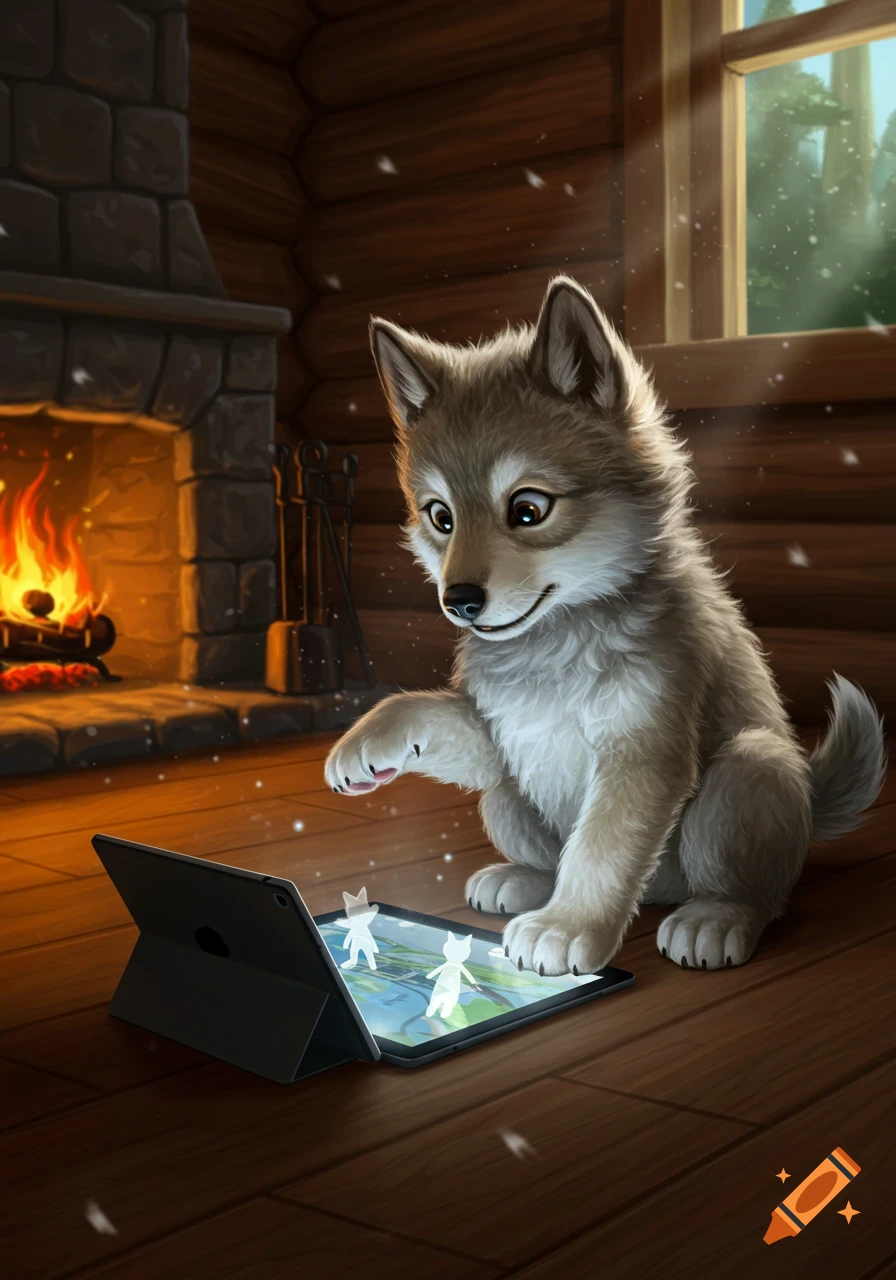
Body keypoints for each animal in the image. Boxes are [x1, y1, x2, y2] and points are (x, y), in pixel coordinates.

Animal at [324, 276, 886, 976]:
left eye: (528, 509)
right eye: (440, 517)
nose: (459, 601)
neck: (559, 639)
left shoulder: (642, 751)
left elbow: (600, 852)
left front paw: (566, 928)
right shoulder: (505, 736)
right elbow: (417, 708)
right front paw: (362, 744)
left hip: (751, 770)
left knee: (756, 889)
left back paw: (715, 917)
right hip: (505, 798)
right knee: (538, 839)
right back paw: (522, 880)